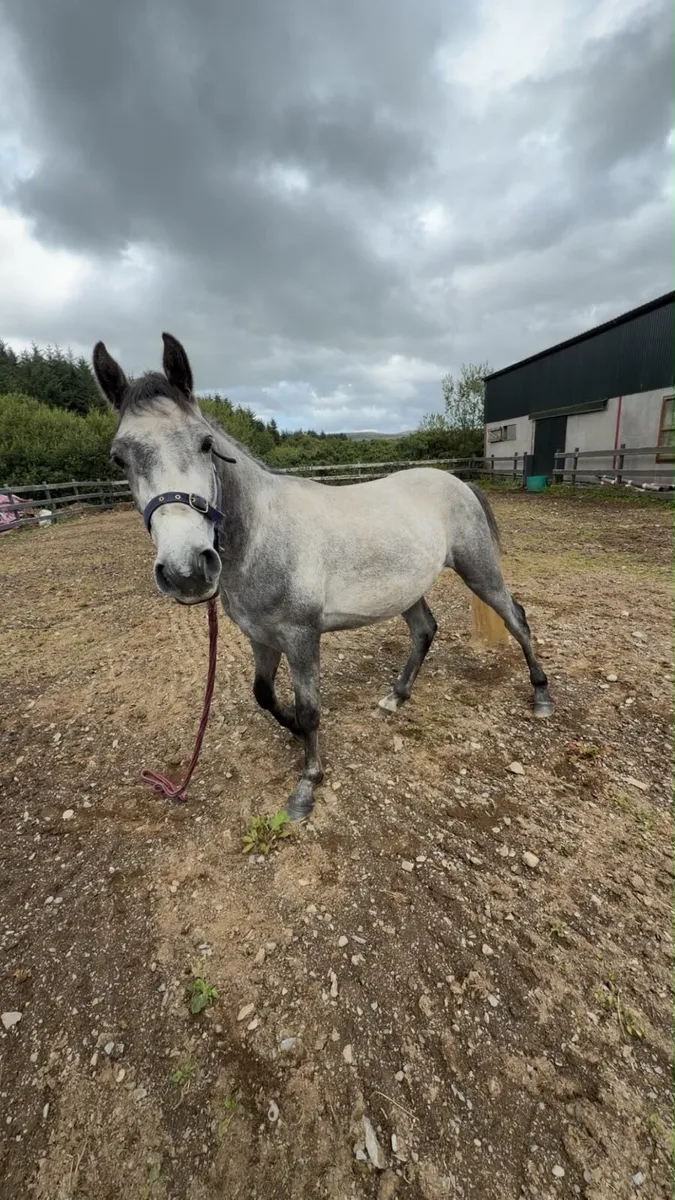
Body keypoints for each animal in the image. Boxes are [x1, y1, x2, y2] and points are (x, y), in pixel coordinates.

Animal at [92, 333, 554, 820]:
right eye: (118, 458)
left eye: (204, 443)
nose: (186, 570)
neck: (263, 534)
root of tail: (458, 482)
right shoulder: (261, 637)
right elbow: (263, 694)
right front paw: (294, 730)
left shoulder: (301, 637)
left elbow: (311, 707)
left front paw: (307, 784)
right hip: (407, 589)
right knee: (425, 630)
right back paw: (396, 696)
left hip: (479, 571)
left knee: (516, 618)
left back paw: (541, 696)